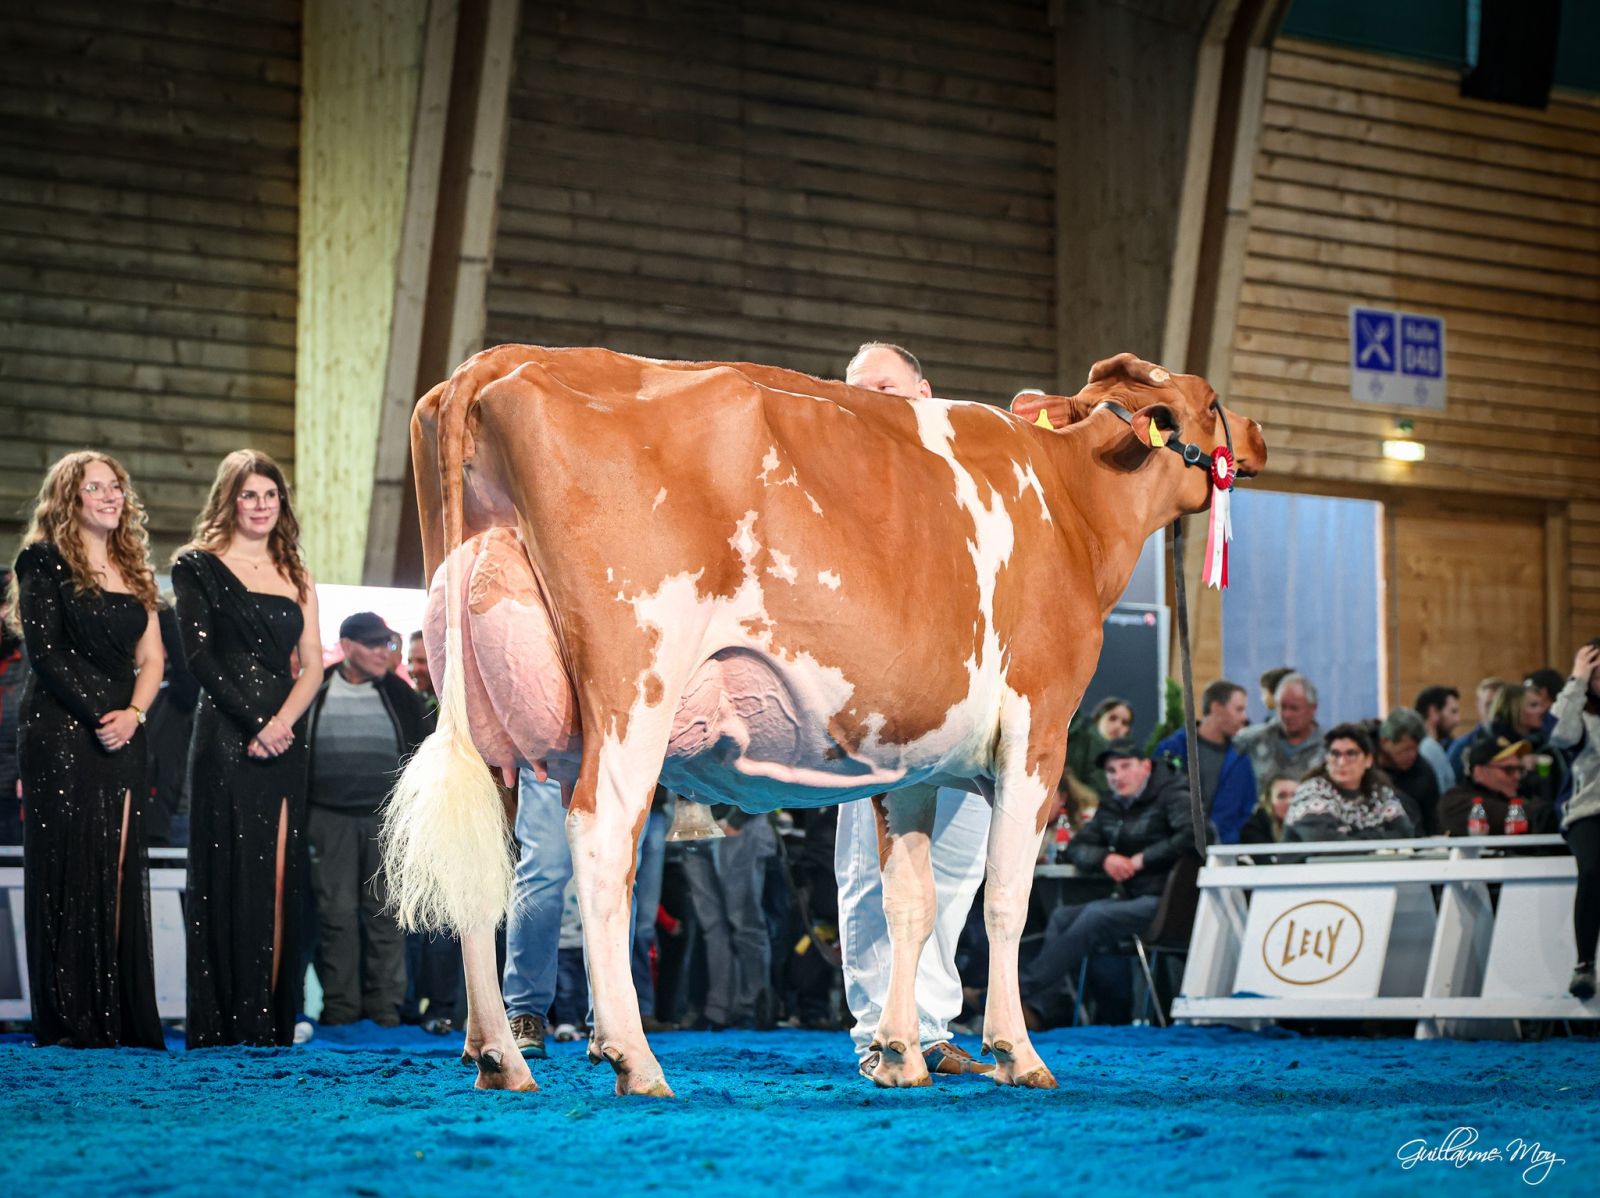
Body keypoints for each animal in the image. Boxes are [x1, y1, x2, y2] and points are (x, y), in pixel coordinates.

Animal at [381, 344, 1266, 1096]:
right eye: (1212, 401)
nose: (1256, 437)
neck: (1070, 505)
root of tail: (500, 360)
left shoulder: (913, 760)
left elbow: (909, 904)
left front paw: (903, 1053)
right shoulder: (1037, 729)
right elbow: (1005, 901)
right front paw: (1016, 1051)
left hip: (487, 712)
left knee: (479, 861)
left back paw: (499, 1055)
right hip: (634, 687)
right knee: (601, 841)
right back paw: (632, 1056)